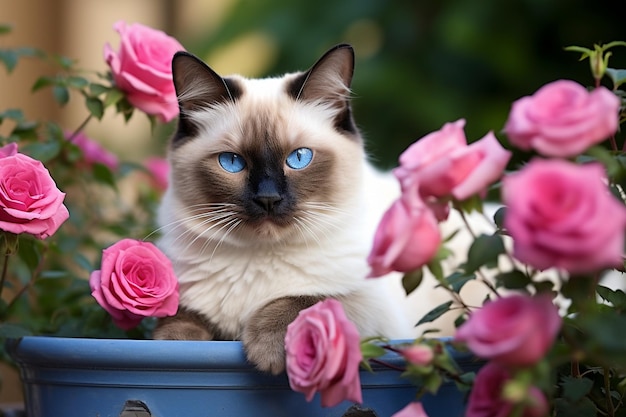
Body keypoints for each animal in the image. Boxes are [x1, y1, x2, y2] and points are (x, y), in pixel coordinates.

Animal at [151, 44, 414, 374]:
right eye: (232, 162)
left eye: (299, 158)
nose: (268, 198)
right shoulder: (185, 303)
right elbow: (178, 326)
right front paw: (177, 350)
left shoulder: (376, 309)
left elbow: (316, 300)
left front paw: (269, 349)